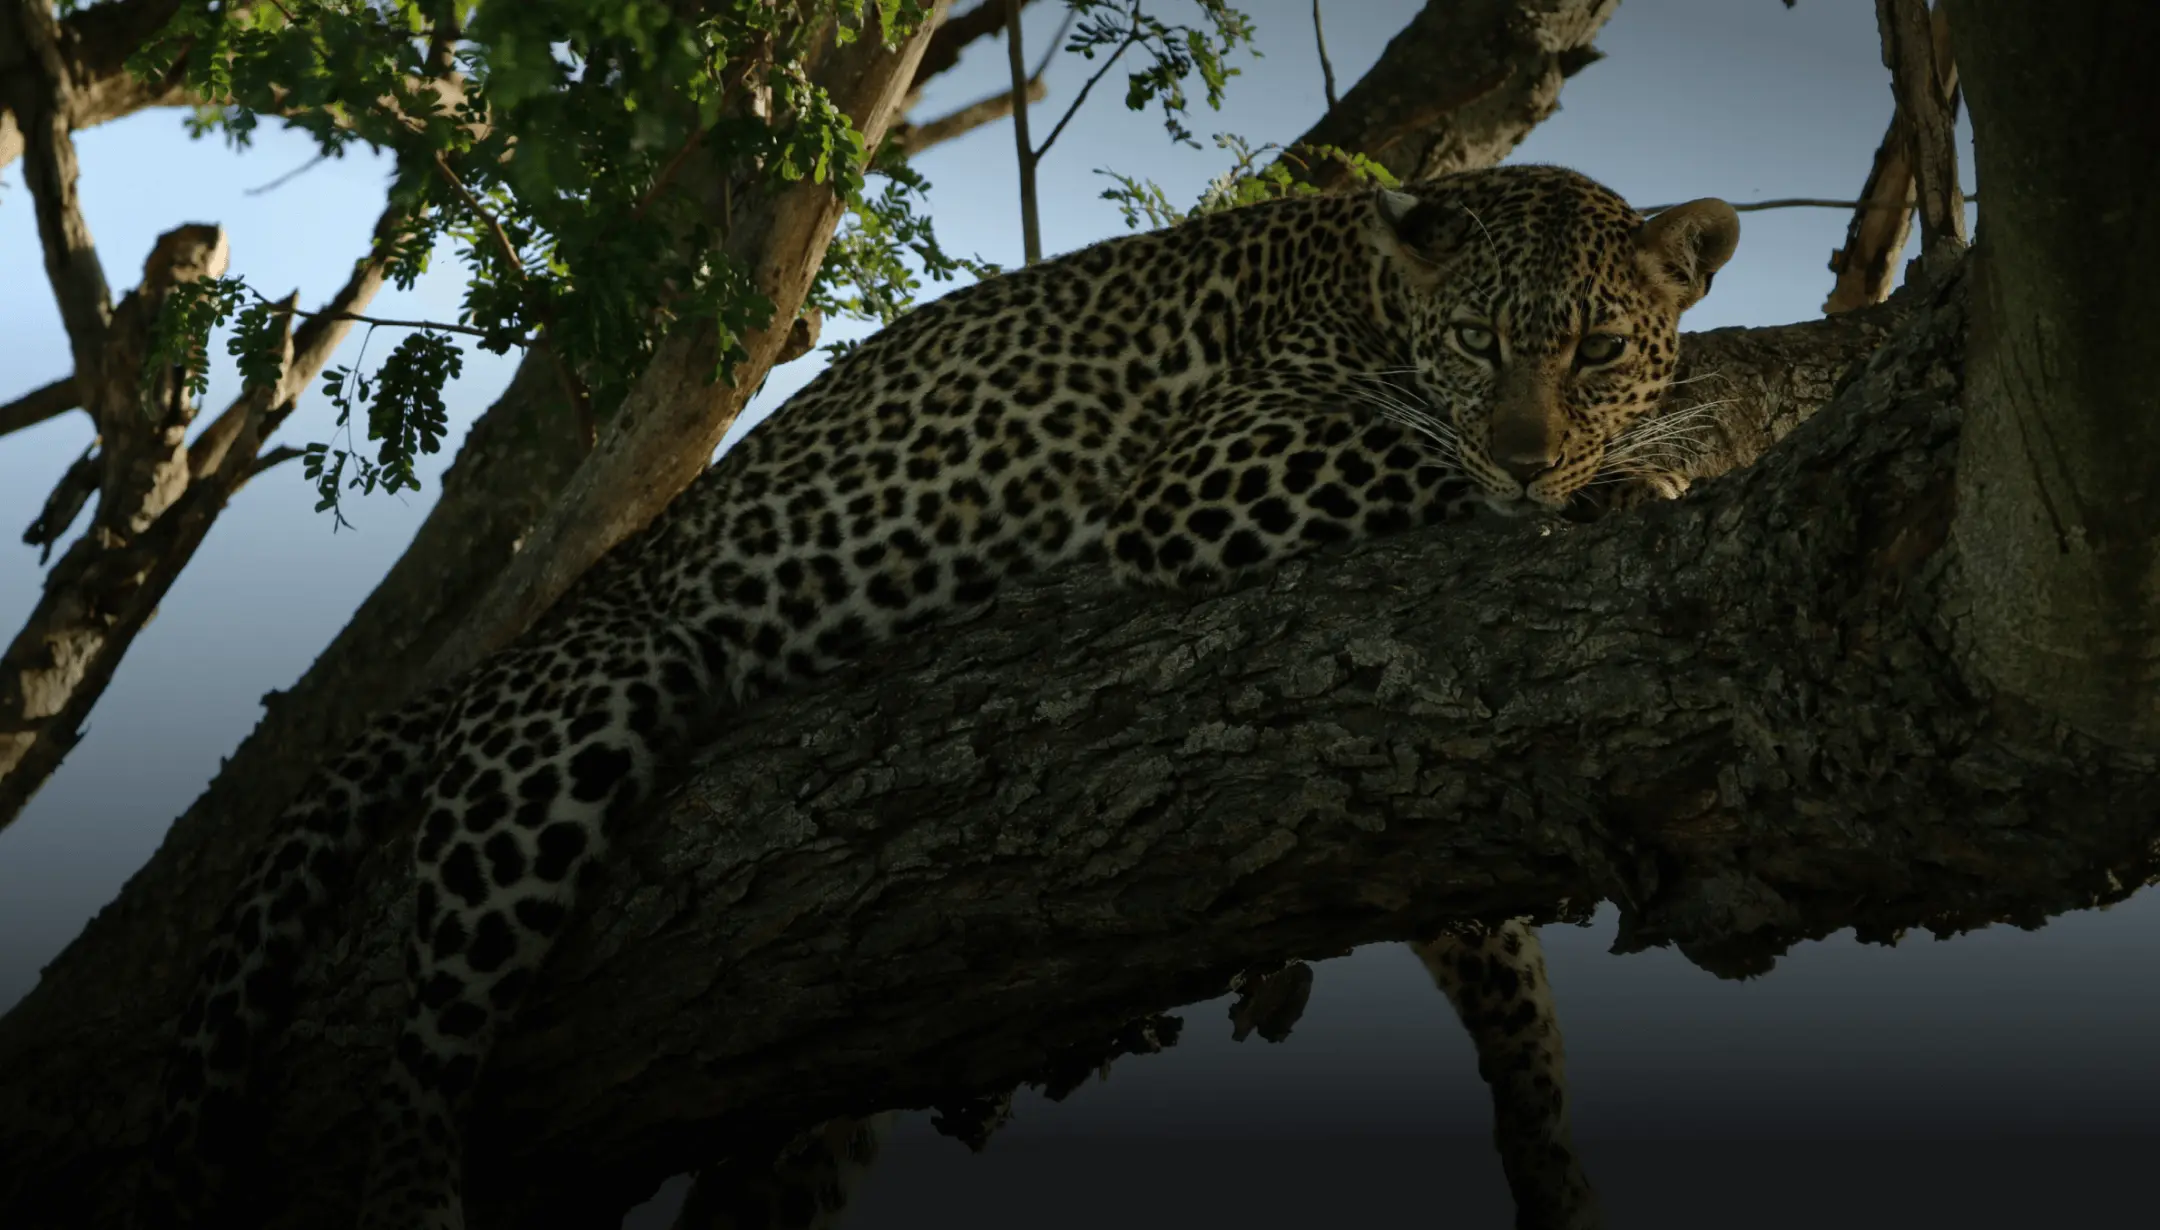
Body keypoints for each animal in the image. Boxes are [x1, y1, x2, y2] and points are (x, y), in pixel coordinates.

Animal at [144, 162, 1738, 1230]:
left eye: (1598, 347)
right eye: (1476, 344)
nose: (1529, 449)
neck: (1382, 299)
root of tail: (537, 625)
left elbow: (1490, 952)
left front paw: (1550, 1154)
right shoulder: (1212, 470)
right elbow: (1431, 468)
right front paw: (1632, 480)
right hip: (574, 716)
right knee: (425, 1042)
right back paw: (416, 1187)